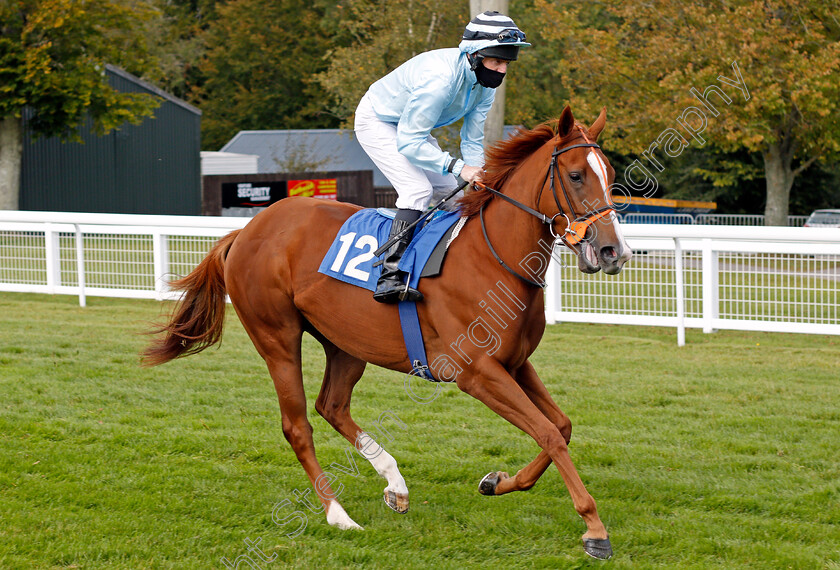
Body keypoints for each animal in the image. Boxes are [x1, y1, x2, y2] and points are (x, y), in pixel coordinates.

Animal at [143, 104, 632, 556]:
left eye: (608, 174)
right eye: (575, 175)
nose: (614, 251)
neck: (491, 258)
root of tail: (246, 230)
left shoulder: (514, 363)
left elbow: (561, 427)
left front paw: (498, 481)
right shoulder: (476, 372)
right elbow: (547, 432)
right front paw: (594, 528)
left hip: (345, 341)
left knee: (332, 406)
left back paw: (394, 483)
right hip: (276, 337)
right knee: (298, 425)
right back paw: (338, 514)